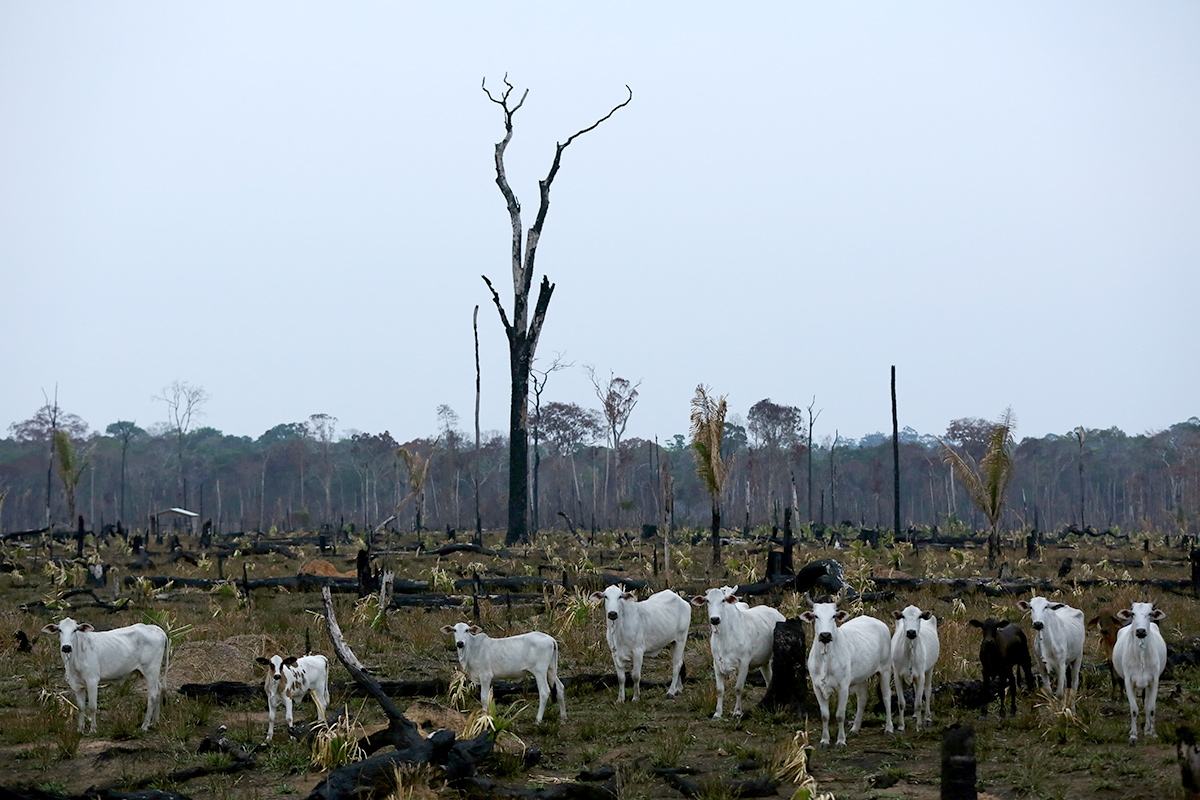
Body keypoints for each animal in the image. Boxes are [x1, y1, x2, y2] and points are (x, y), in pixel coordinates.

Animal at [40, 618, 169, 734]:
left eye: (75, 630)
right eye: (60, 630)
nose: (66, 647)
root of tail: (155, 628)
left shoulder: (92, 680)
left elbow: (92, 706)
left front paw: (93, 729)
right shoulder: (77, 684)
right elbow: (81, 707)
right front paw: (80, 729)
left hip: (151, 671)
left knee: (152, 696)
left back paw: (145, 725)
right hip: (150, 673)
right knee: (159, 690)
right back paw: (155, 722)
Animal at [691, 587, 782, 719]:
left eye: (723, 600)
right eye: (707, 601)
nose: (715, 619)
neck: (724, 637)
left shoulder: (744, 663)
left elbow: (738, 688)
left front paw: (737, 712)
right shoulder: (716, 663)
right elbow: (720, 690)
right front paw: (717, 713)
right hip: (764, 661)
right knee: (768, 680)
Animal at [796, 597, 892, 748]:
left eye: (833, 616)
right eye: (816, 616)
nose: (825, 635)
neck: (825, 659)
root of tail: (880, 623)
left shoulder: (843, 687)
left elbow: (840, 715)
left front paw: (840, 741)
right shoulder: (817, 687)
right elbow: (825, 715)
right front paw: (824, 740)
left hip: (885, 669)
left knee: (887, 696)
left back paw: (889, 728)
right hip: (860, 677)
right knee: (863, 698)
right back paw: (855, 729)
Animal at [892, 606, 936, 734]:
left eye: (920, 616)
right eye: (903, 616)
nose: (911, 632)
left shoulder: (921, 675)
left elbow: (918, 703)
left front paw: (919, 726)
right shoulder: (897, 675)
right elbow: (901, 703)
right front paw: (901, 726)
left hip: (930, 669)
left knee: (927, 691)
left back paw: (927, 717)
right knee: (916, 691)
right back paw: (916, 716)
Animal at [1108, 604, 1166, 748]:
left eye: (1150, 613)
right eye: (1133, 614)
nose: (1140, 631)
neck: (1141, 656)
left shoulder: (1154, 681)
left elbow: (1151, 708)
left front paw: (1152, 733)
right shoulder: (1129, 682)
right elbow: (1134, 709)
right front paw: (1133, 736)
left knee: (1146, 704)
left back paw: (1147, 729)